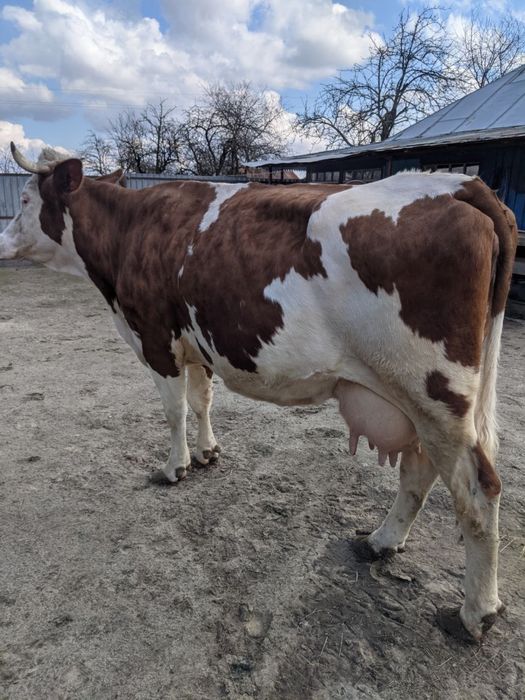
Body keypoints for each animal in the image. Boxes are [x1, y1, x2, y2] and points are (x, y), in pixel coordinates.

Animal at [0, 142, 517, 643]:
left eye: (24, 200)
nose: (2, 242)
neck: (131, 230)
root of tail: (459, 184)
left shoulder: (156, 338)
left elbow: (173, 410)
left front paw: (174, 467)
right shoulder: (196, 344)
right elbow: (200, 401)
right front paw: (207, 452)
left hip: (435, 393)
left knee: (478, 491)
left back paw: (478, 611)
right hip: (417, 402)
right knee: (420, 470)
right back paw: (382, 541)